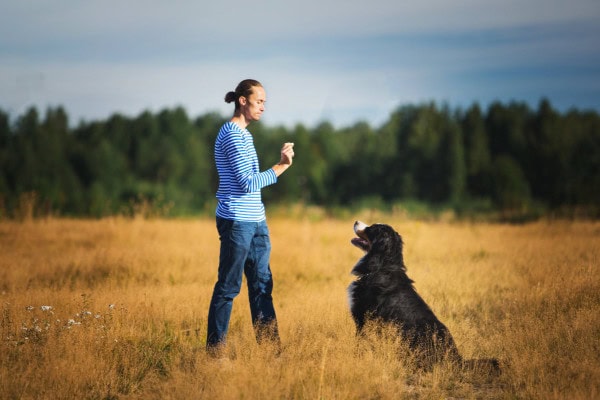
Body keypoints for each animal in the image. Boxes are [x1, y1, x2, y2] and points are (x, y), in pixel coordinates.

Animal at [346, 220, 496, 370]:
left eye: (371, 228)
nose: (356, 221)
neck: (381, 267)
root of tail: (458, 360)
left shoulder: (363, 319)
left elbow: (359, 345)